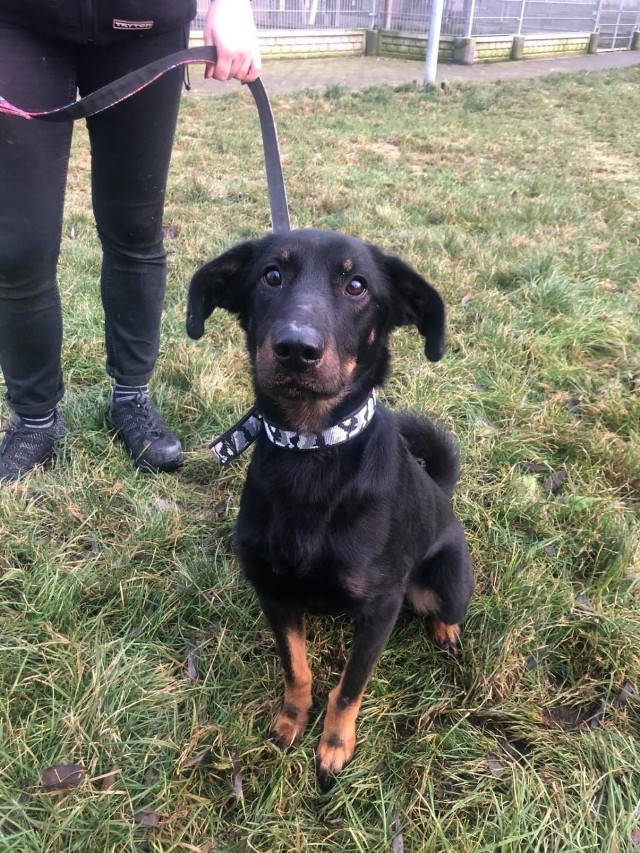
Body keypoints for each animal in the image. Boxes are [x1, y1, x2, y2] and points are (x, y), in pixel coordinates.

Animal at [186, 226, 476, 780]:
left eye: (356, 285)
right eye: (271, 276)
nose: (296, 348)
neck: (312, 449)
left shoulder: (381, 607)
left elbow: (349, 685)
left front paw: (336, 745)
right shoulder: (274, 592)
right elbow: (297, 669)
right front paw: (291, 721)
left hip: (449, 583)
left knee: (443, 607)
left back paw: (446, 630)